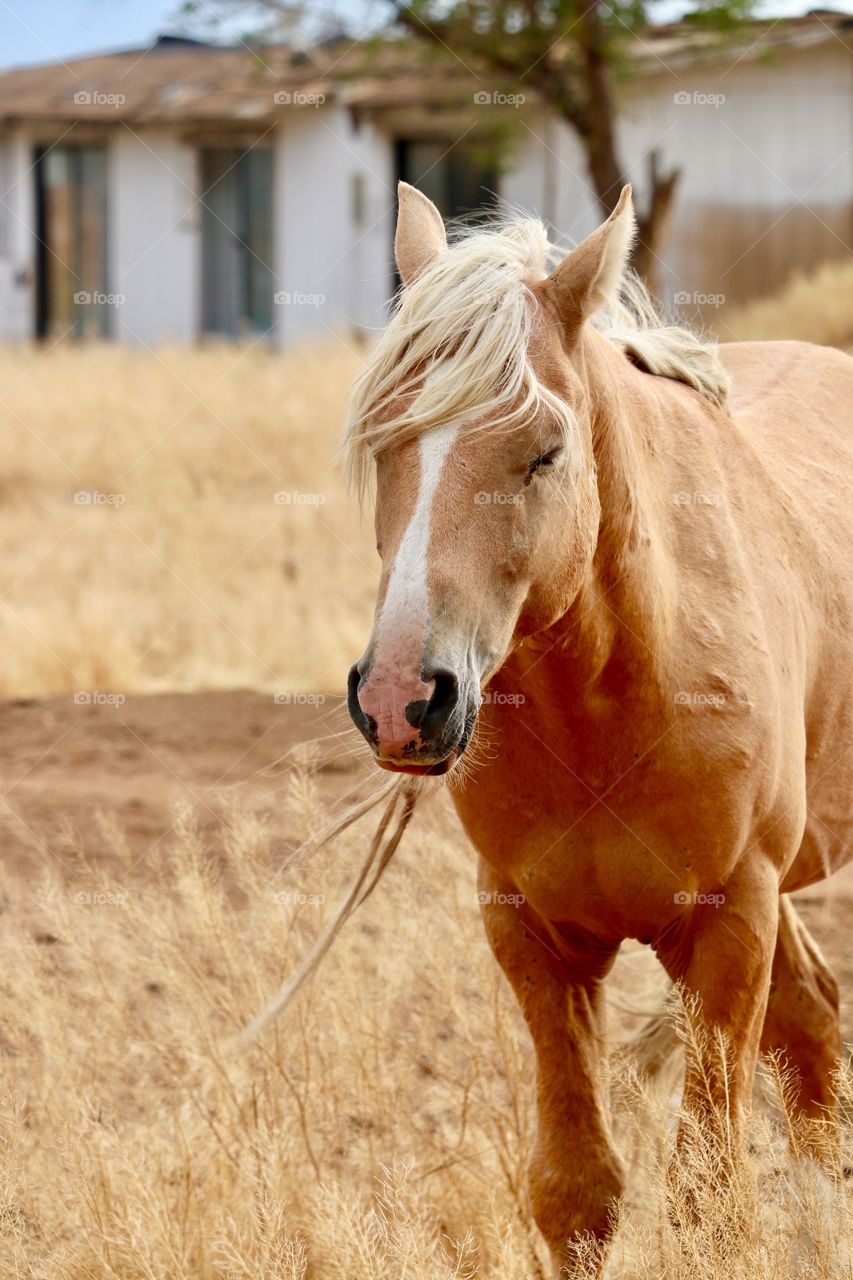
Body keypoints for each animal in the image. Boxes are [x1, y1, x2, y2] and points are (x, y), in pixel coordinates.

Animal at [340, 180, 850, 1269]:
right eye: (385, 439)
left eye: (544, 451)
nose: (404, 695)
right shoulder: (533, 933)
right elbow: (575, 1193)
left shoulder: (728, 920)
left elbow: (710, 1199)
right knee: (814, 1031)